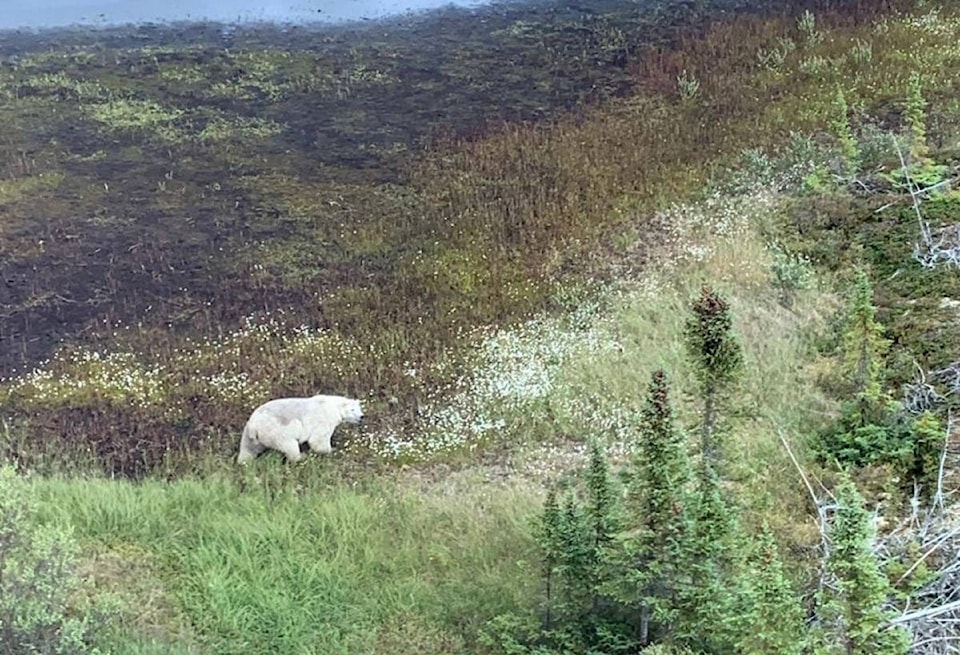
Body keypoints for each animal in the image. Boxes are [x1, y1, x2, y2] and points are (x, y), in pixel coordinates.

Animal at [236, 392, 364, 464]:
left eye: (359, 408)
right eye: (353, 410)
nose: (362, 416)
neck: (333, 406)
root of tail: (254, 425)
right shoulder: (324, 419)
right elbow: (318, 440)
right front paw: (332, 449)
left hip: (249, 434)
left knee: (248, 449)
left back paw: (244, 462)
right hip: (277, 430)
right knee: (290, 446)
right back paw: (301, 456)